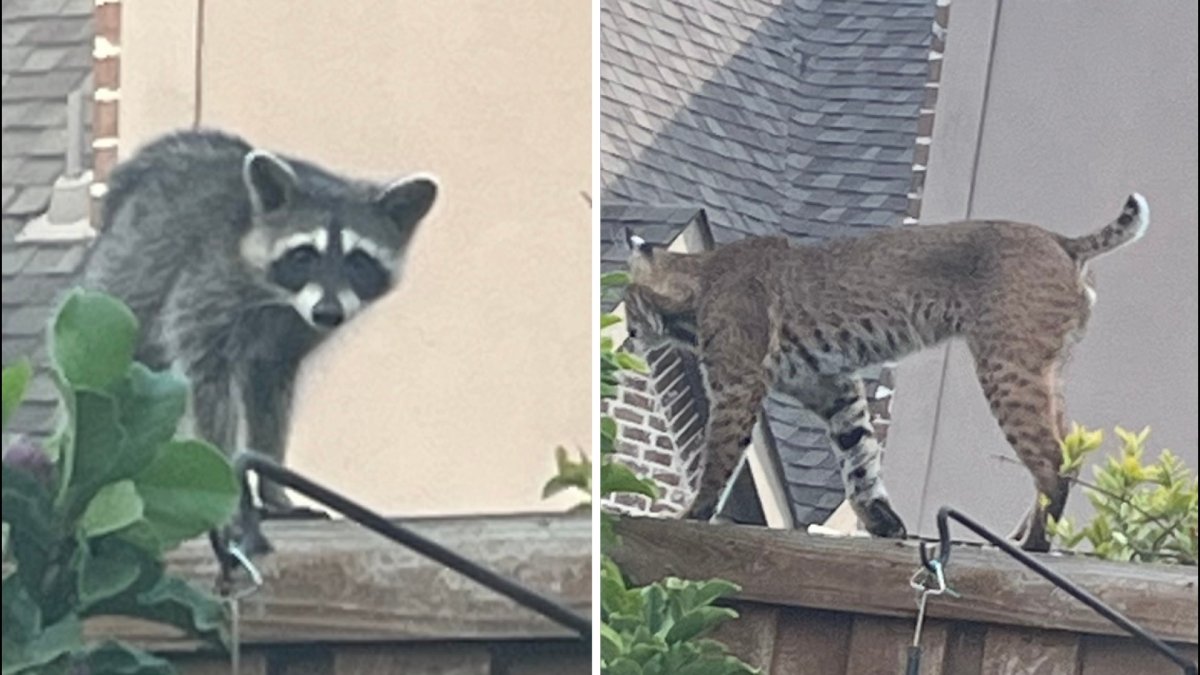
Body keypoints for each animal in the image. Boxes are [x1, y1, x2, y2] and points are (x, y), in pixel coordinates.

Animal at [83, 129, 438, 554]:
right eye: (304, 255)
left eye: (358, 261)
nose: (328, 313)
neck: (282, 299)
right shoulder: (206, 288)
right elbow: (206, 383)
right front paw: (231, 494)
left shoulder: (289, 339)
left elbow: (270, 396)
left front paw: (273, 487)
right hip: (119, 288)